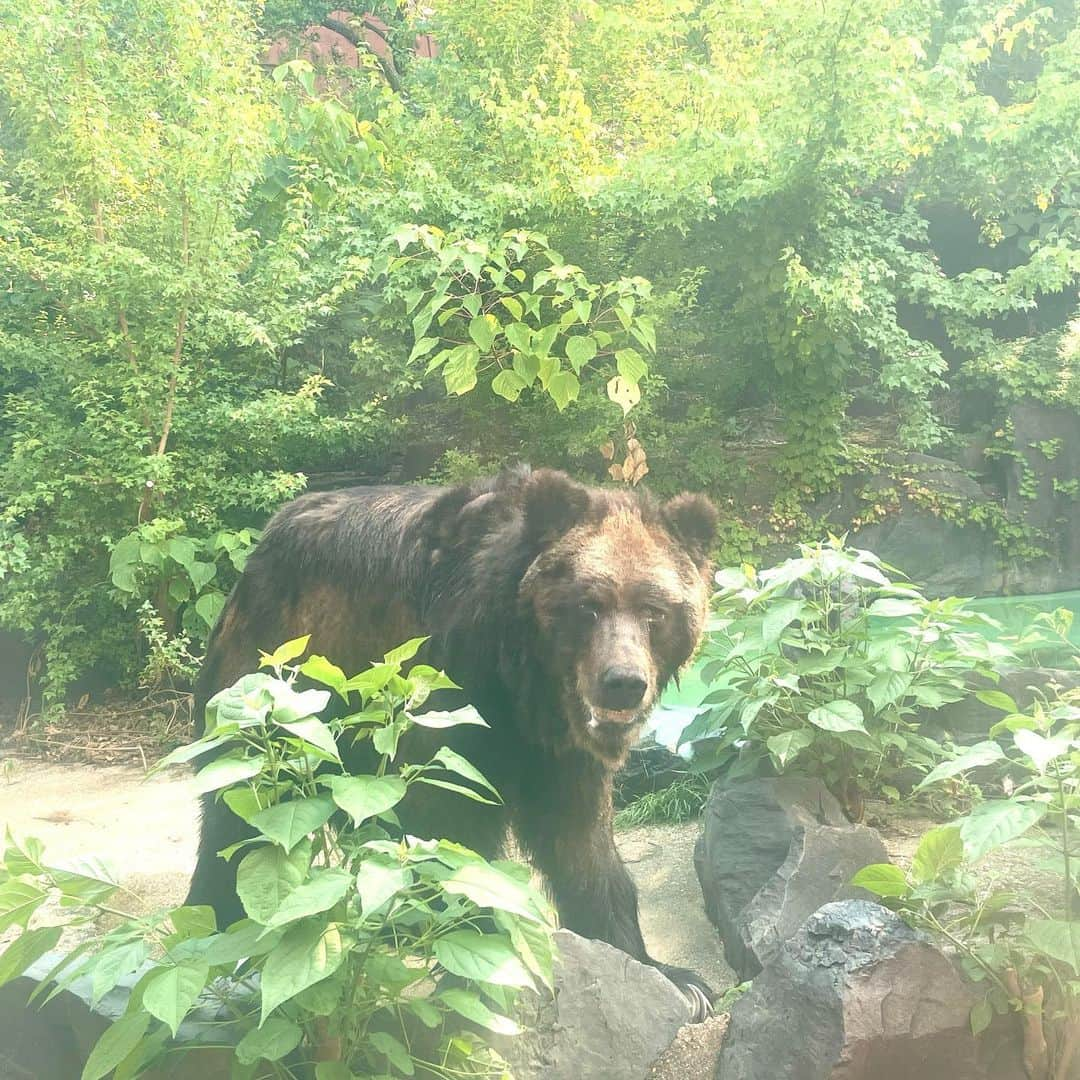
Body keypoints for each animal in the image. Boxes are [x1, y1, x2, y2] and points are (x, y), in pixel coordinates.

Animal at [187, 464, 717, 1010]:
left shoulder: (558, 750)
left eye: (654, 610)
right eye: (587, 606)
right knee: (242, 809)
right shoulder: (449, 695)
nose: (623, 682)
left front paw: (672, 975)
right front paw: (481, 959)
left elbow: (580, 837)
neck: (523, 680)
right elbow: (452, 826)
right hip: (281, 674)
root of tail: (266, 539)